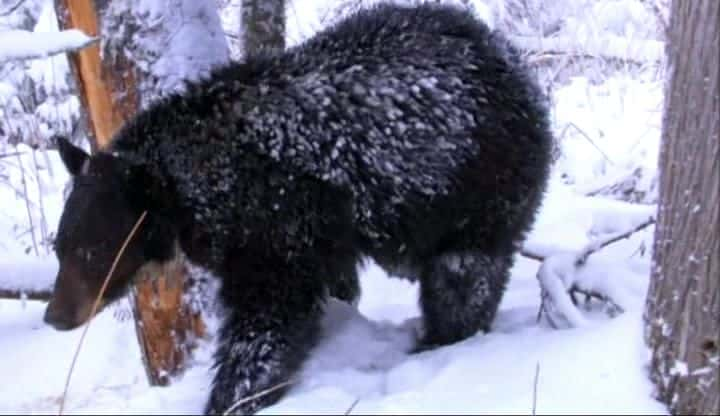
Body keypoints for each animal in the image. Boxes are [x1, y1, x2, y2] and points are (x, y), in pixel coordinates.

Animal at [43, 2, 552, 412]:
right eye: (60, 246)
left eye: (92, 250)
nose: (56, 315)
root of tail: (513, 61)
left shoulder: (276, 219)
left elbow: (270, 318)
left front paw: (233, 396)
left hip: (479, 183)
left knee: (464, 274)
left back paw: (438, 340)